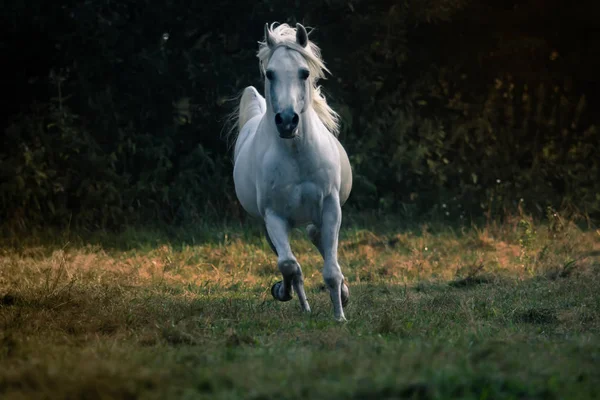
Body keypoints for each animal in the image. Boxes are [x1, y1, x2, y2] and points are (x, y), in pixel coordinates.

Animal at [230, 22, 352, 322]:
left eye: (304, 72)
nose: (286, 121)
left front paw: (340, 316)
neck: (296, 155)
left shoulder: (330, 207)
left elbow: (331, 270)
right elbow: (288, 264)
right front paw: (280, 291)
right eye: (270, 73)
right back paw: (304, 306)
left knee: (319, 239)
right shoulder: (274, 216)